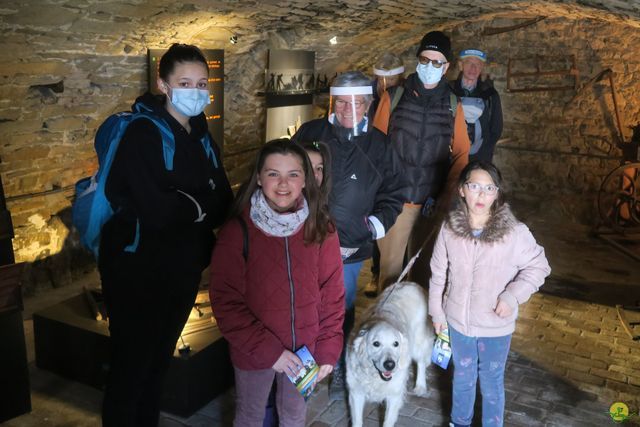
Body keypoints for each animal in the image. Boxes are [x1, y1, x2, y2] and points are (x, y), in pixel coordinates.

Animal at [344, 282, 436, 426]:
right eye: (376, 343)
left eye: (396, 344)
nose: (390, 365)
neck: (375, 377)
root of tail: (412, 283)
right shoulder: (356, 392)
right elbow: (357, 421)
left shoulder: (394, 394)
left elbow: (387, 421)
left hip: (419, 343)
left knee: (421, 362)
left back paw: (420, 387)